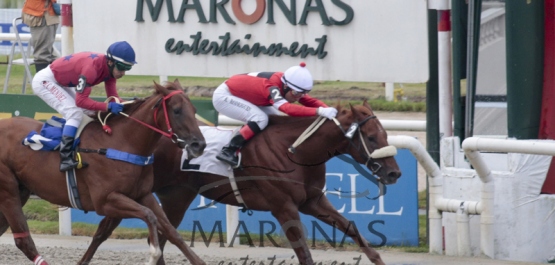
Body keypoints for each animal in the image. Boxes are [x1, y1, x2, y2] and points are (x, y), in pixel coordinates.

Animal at [0, 80, 207, 264]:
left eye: (194, 110)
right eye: (177, 110)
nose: (199, 145)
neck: (122, 143)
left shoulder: (142, 194)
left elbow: (171, 231)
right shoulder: (105, 200)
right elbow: (149, 215)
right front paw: (153, 255)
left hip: (21, 190)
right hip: (8, 191)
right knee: (24, 241)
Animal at [77, 99, 400, 264]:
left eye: (385, 134)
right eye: (372, 137)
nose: (394, 173)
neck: (293, 150)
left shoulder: (312, 200)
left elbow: (353, 230)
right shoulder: (283, 206)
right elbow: (304, 252)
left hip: (174, 196)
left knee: (159, 233)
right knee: (104, 232)